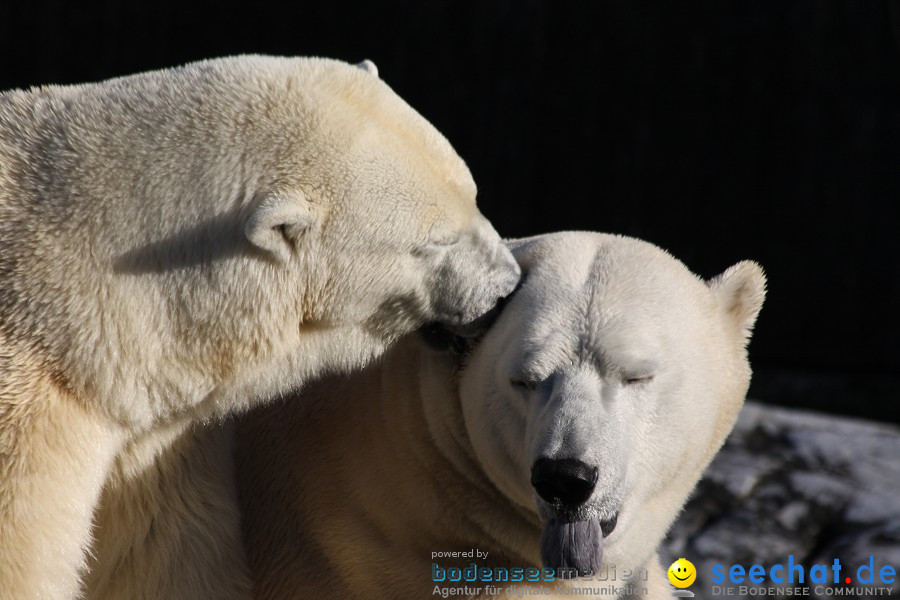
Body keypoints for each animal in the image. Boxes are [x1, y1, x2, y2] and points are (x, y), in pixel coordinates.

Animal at [0, 56, 520, 600]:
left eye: (475, 194)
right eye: (434, 242)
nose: (507, 286)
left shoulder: (147, 438)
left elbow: (161, 546)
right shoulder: (28, 419)